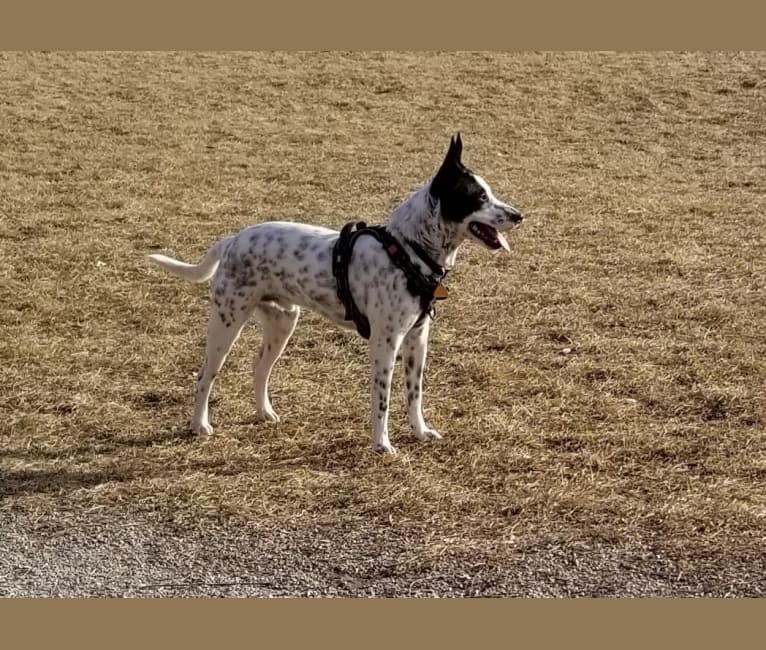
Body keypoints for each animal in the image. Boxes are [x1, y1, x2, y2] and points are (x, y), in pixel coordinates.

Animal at [148, 134, 524, 454]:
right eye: (479, 196)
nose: (519, 215)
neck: (407, 250)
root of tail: (231, 240)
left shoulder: (418, 339)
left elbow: (414, 394)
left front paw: (420, 431)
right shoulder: (386, 343)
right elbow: (382, 399)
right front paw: (381, 445)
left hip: (282, 324)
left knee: (259, 368)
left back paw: (264, 413)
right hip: (226, 324)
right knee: (205, 375)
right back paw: (199, 425)